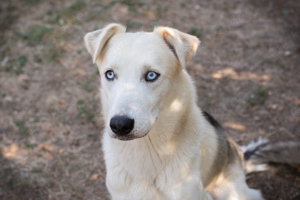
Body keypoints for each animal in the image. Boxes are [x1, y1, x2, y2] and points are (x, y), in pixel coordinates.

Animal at [82, 23, 296, 200]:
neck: (148, 151)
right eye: (110, 74)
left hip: (231, 193)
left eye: (151, 75)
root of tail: (240, 156)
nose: (120, 125)